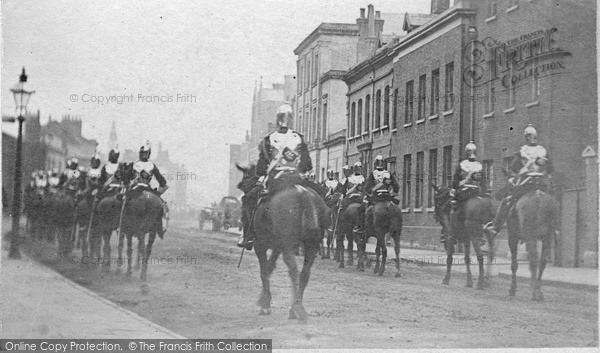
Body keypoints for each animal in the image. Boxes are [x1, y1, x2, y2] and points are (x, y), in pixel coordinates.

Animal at [237, 164, 330, 320]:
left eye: (245, 201)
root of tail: (303, 194)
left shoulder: (260, 245)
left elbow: (264, 271)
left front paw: (265, 305)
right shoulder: (277, 246)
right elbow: (270, 267)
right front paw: (262, 299)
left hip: (288, 246)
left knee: (293, 270)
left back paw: (295, 308)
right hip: (311, 246)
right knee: (304, 274)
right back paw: (298, 306)